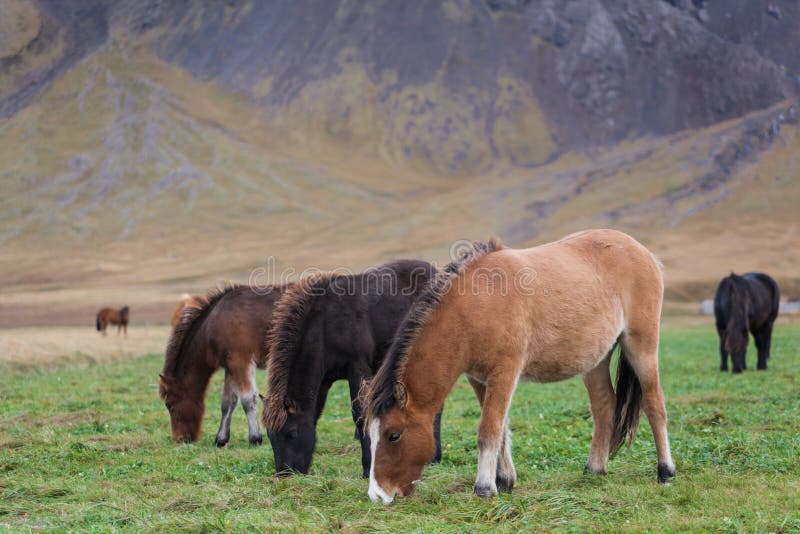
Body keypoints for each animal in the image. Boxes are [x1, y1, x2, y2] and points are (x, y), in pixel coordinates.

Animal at [159, 284, 287, 446]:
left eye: (169, 404)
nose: (180, 439)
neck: (214, 323)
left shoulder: (240, 361)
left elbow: (247, 399)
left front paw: (255, 437)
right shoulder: (230, 366)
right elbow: (227, 402)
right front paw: (221, 438)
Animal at [262, 259, 444, 478]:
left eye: (292, 433)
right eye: (270, 436)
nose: (285, 474)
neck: (325, 325)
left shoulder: (357, 369)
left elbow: (359, 413)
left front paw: (367, 467)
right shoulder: (324, 381)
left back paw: (434, 457)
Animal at [364, 229, 675, 504]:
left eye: (394, 435)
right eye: (372, 434)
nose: (377, 495)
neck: (476, 303)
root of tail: (643, 252)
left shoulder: (505, 373)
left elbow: (489, 430)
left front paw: (484, 488)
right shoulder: (479, 379)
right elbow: (500, 429)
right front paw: (504, 480)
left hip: (641, 347)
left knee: (654, 405)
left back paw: (666, 471)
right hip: (596, 361)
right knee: (604, 408)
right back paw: (595, 470)